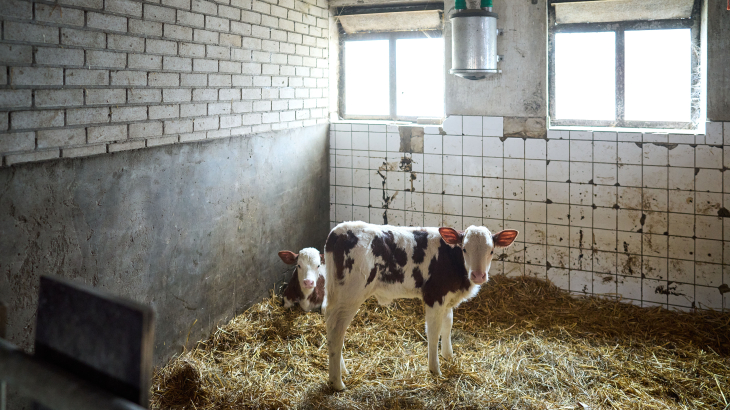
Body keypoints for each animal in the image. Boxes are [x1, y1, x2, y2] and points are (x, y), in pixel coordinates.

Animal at [322, 221, 516, 390]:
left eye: (491, 250)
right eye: (464, 249)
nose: (478, 275)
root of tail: (338, 231)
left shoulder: (448, 298)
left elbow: (448, 325)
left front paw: (449, 356)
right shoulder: (434, 296)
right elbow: (434, 332)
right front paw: (435, 369)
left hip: (336, 294)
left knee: (330, 325)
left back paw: (343, 371)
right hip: (350, 295)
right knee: (337, 331)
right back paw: (337, 383)